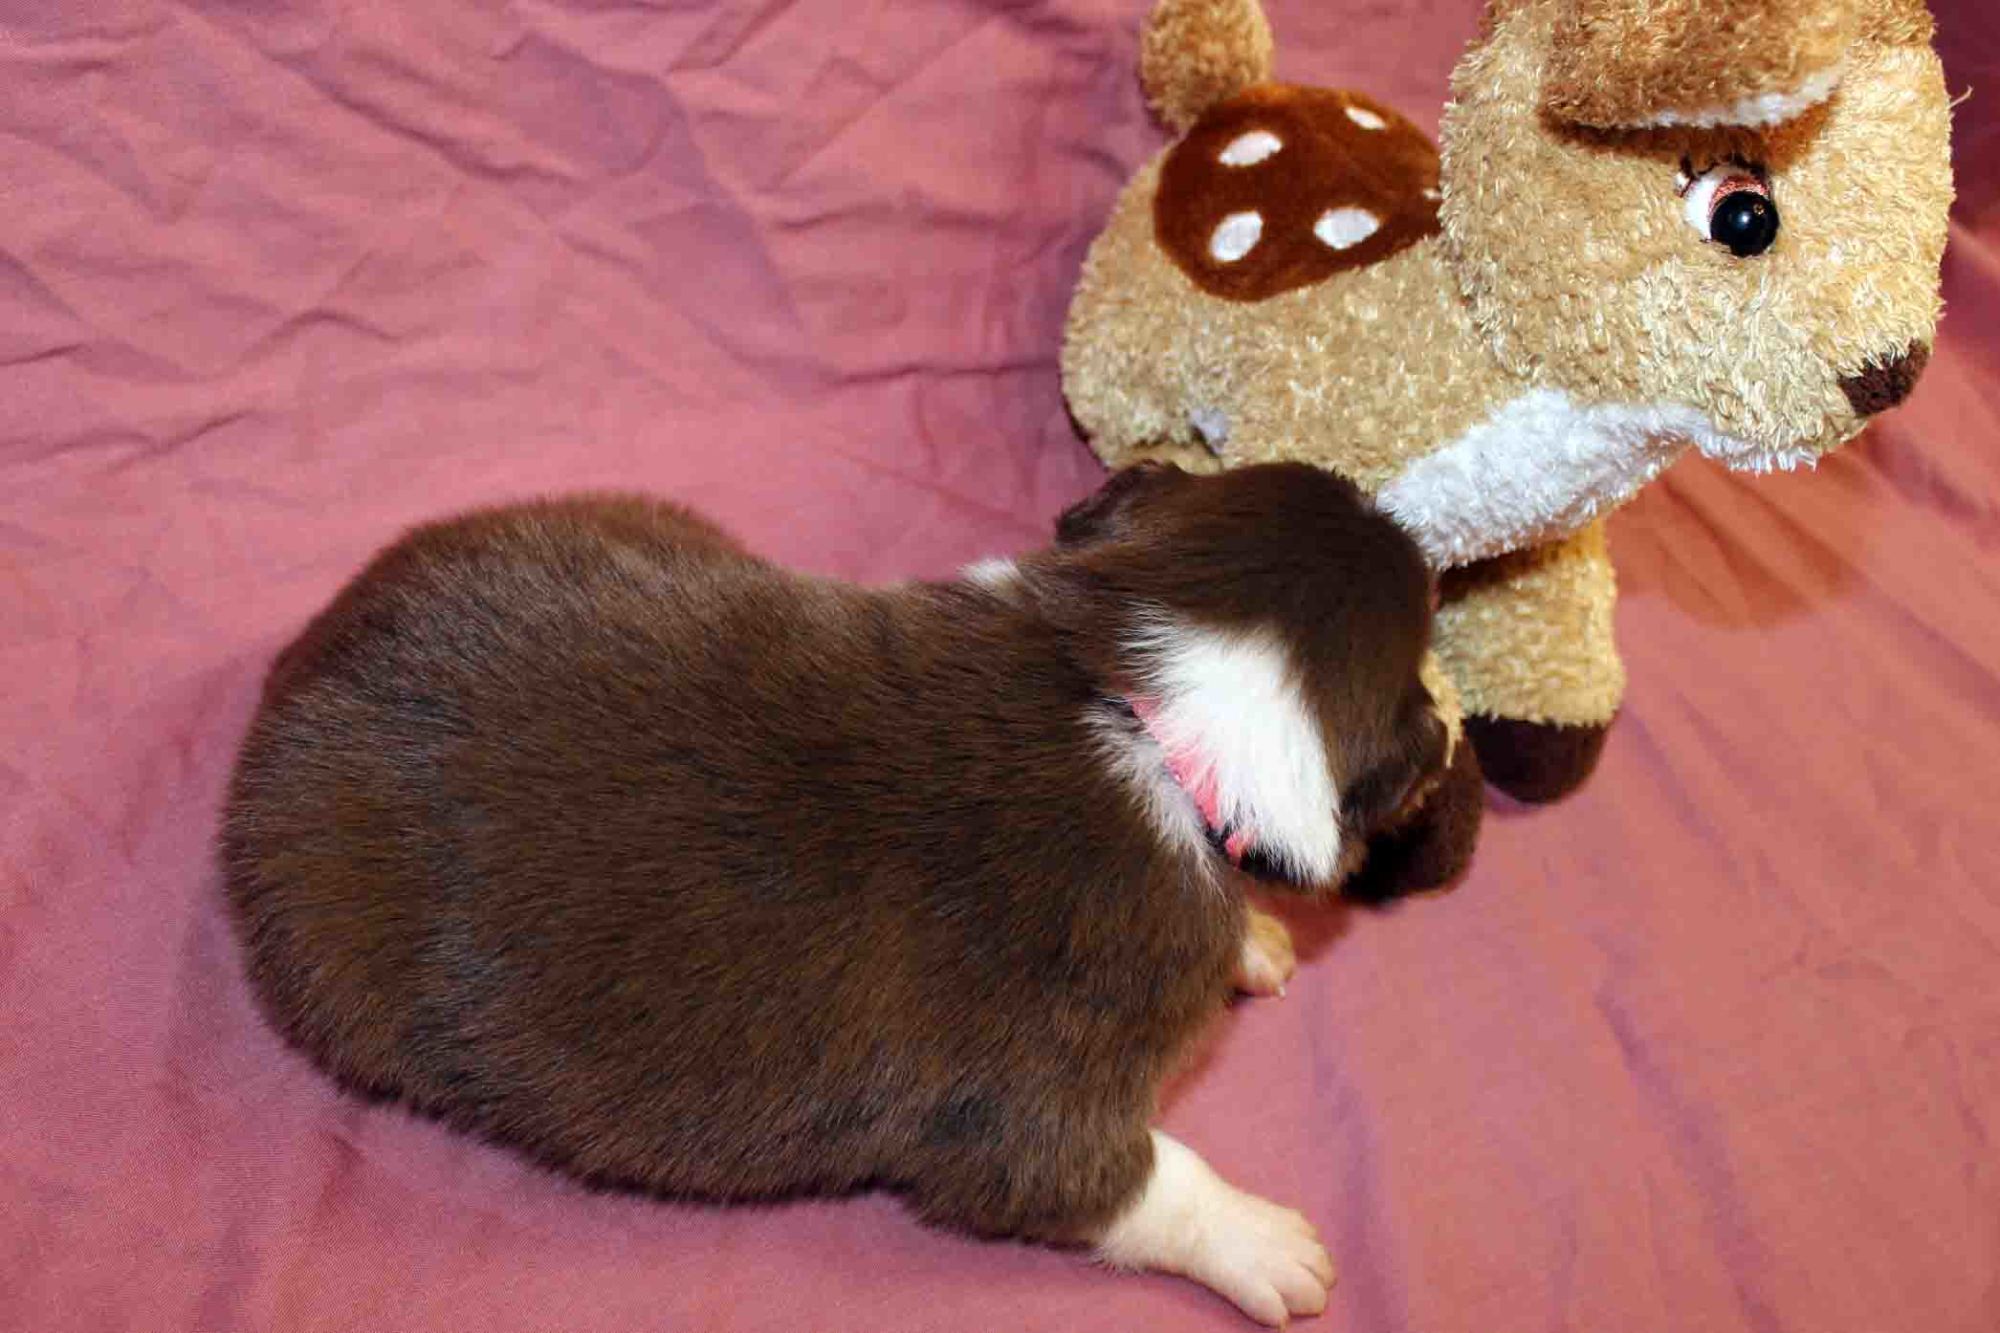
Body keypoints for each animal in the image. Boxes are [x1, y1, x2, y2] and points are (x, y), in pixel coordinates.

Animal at [221, 460, 1447, 1323]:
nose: (1433, 550)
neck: (1146, 717)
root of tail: (289, 679)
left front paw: (1258, 936)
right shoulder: (1030, 1115)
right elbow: (1148, 1179)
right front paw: (1268, 1245)